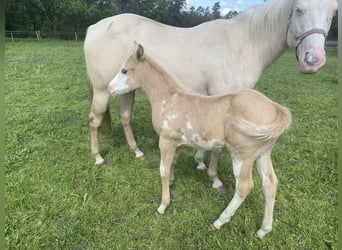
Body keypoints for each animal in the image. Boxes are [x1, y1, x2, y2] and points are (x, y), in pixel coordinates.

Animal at [108, 44, 292, 238]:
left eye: (124, 70)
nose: (109, 89)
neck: (168, 99)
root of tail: (275, 108)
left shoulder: (165, 141)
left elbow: (163, 170)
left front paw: (163, 205)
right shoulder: (177, 143)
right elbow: (173, 163)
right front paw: (172, 182)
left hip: (242, 156)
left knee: (244, 187)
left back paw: (219, 222)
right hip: (263, 154)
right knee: (270, 183)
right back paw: (263, 230)